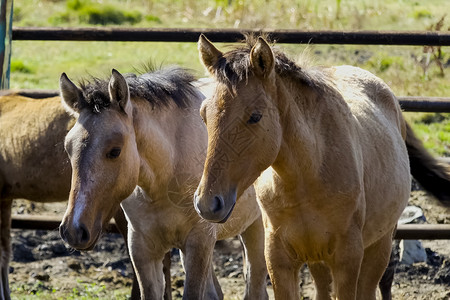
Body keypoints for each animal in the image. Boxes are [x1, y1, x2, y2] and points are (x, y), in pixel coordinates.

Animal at [194, 35, 450, 300]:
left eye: (255, 116)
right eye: (204, 114)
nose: (208, 203)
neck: (306, 178)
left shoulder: (347, 260)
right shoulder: (279, 261)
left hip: (379, 245)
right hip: (318, 259)